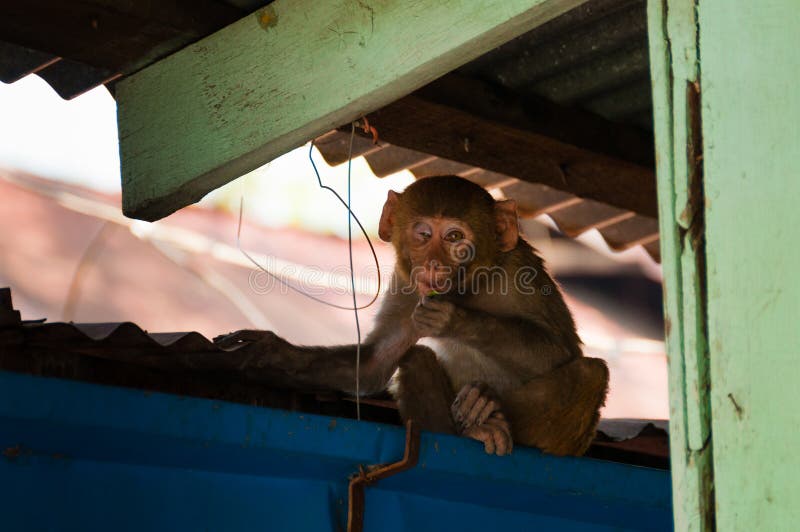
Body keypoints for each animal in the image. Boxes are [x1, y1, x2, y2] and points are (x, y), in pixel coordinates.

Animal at [216, 176, 608, 458]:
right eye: (423, 234)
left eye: (454, 237)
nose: (432, 264)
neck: (469, 287)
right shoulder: (407, 285)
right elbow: (373, 364)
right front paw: (269, 352)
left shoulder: (518, 272)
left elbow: (559, 353)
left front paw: (454, 320)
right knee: (416, 357)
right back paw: (469, 428)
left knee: (591, 372)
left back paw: (489, 410)